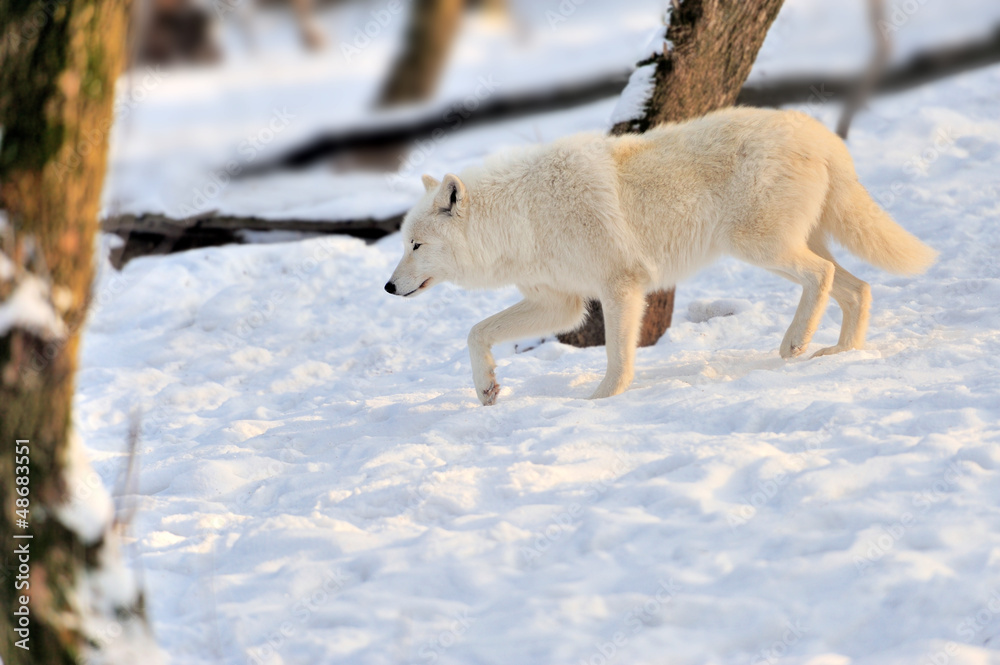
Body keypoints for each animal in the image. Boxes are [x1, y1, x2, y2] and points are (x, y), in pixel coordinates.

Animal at [385, 107, 936, 405]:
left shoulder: (620, 286)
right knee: (859, 289)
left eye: (416, 245)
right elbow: (476, 332)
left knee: (821, 276)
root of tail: (821, 133)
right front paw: (486, 390)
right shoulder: (560, 305)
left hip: (759, 246)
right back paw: (841, 354)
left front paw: (600, 401)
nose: (388, 287)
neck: (523, 215)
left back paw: (796, 343)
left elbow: (617, 358)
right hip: (788, 245)